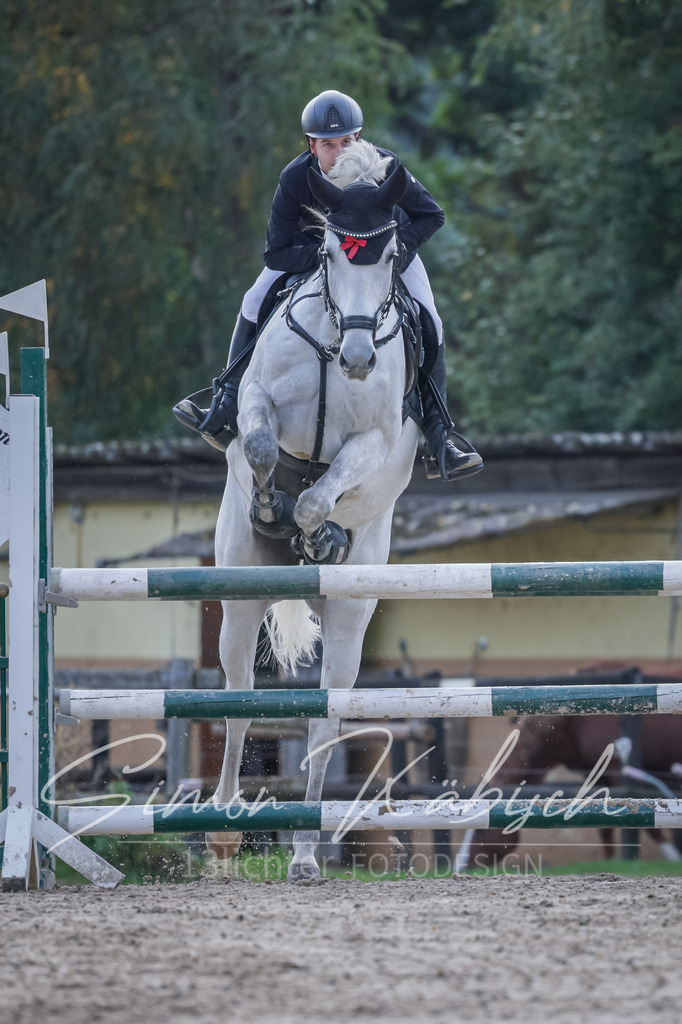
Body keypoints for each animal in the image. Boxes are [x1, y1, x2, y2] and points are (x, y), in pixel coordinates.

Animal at [209, 141, 420, 882]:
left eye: (390, 253)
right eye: (327, 252)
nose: (357, 358)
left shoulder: (375, 443)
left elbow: (322, 492)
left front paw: (313, 528)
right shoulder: (258, 403)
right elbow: (262, 445)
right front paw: (271, 504)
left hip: (352, 618)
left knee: (325, 722)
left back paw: (304, 854)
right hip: (239, 598)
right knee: (238, 696)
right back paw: (222, 827)